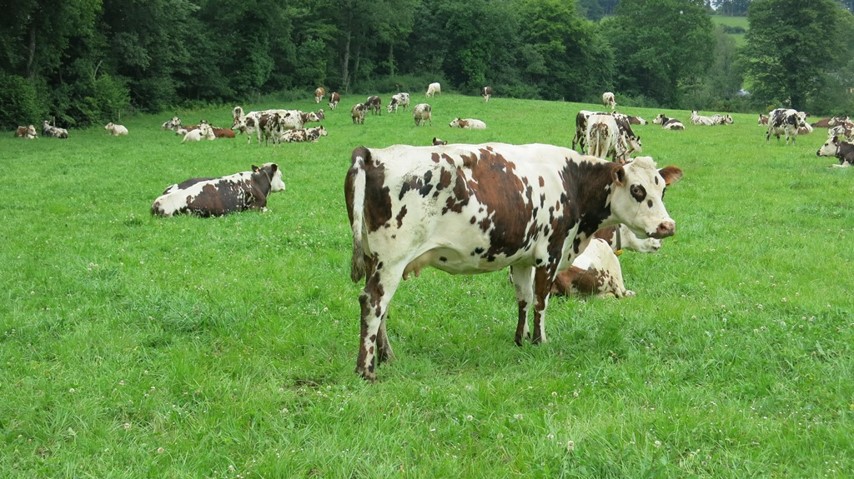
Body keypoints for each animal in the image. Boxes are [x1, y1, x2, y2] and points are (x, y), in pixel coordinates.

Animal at [344, 142, 684, 378]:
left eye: (662, 189)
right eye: (637, 190)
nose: (667, 226)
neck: (572, 181)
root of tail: (373, 154)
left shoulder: (522, 258)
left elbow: (523, 297)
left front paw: (521, 340)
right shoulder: (550, 252)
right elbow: (541, 301)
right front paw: (540, 341)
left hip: (376, 260)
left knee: (382, 308)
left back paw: (386, 356)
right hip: (392, 258)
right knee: (372, 302)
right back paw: (366, 369)